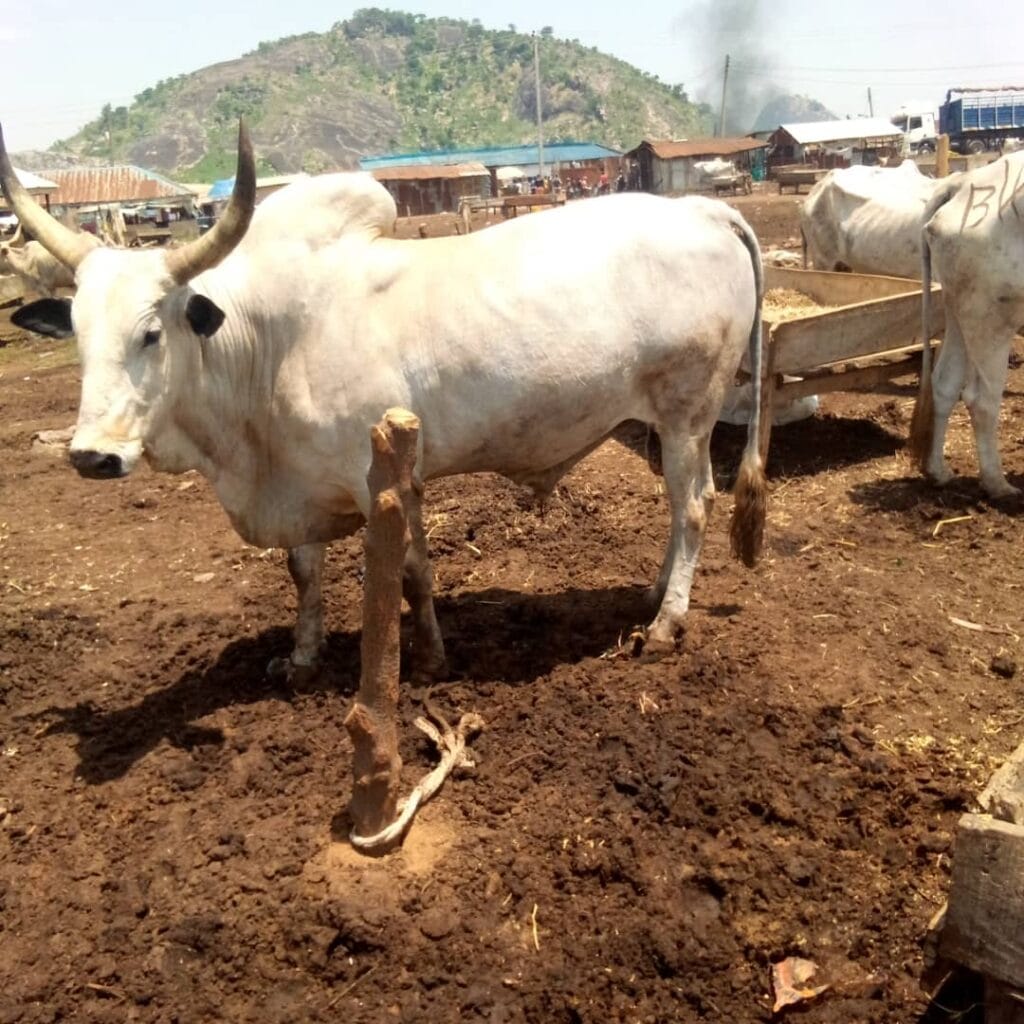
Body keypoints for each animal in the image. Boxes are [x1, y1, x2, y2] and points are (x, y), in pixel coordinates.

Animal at [0, 121, 767, 680]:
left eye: (151, 332)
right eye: (76, 332)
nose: (92, 455)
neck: (267, 341)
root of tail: (704, 209)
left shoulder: (388, 479)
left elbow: (411, 573)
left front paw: (428, 658)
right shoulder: (303, 481)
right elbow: (303, 571)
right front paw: (302, 657)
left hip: (689, 412)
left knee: (694, 506)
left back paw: (667, 622)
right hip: (663, 422)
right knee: (681, 506)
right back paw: (654, 593)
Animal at [910, 151, 1024, 498]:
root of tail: (963, 182)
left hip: (959, 310)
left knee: (943, 383)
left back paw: (937, 471)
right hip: (991, 317)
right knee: (981, 400)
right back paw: (997, 484)